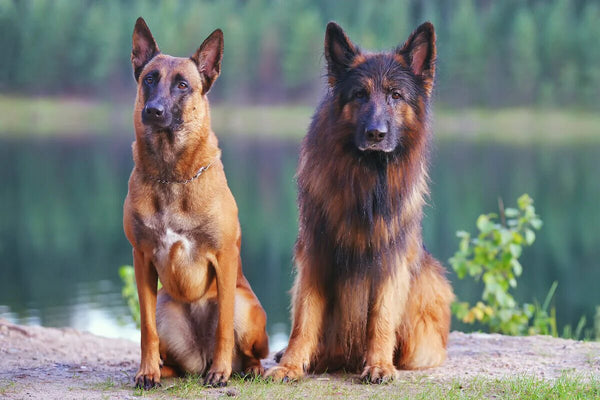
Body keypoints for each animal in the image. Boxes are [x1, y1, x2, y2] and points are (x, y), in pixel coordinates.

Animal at [123, 17, 268, 390]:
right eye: (149, 79)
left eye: (183, 85)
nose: (153, 111)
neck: (171, 175)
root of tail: (199, 360)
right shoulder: (141, 257)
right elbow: (146, 330)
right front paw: (147, 371)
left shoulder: (225, 257)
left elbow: (224, 326)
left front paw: (222, 372)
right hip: (165, 306)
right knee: (171, 355)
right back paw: (164, 369)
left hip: (248, 310)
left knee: (250, 352)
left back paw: (242, 369)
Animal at [264, 20, 452, 382]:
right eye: (360, 94)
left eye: (396, 95)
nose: (376, 134)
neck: (367, 181)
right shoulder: (316, 254)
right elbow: (304, 319)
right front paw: (290, 364)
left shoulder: (390, 261)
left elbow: (381, 317)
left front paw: (379, 364)